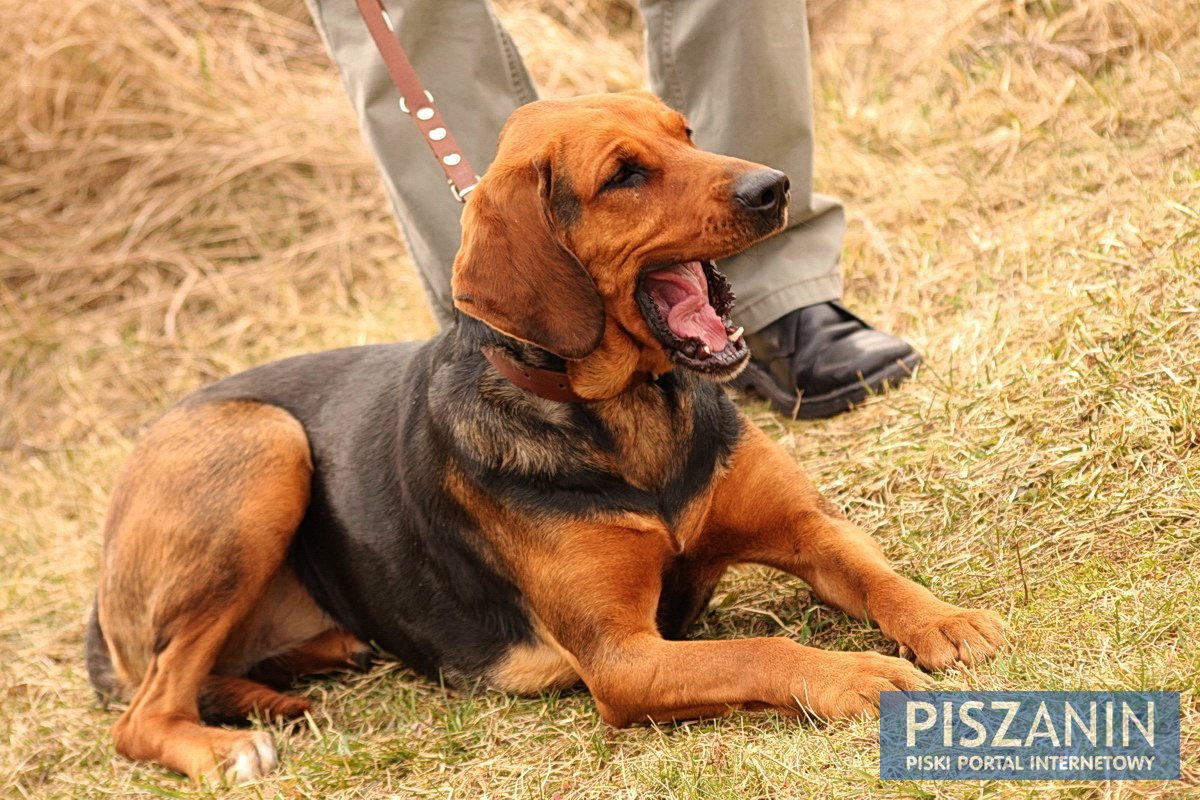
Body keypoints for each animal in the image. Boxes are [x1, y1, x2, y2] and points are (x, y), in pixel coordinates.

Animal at [84, 92, 1008, 782]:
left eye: (686, 133)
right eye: (624, 175)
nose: (773, 187)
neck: (629, 418)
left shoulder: (806, 528)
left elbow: (876, 572)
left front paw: (949, 620)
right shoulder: (625, 658)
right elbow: (761, 650)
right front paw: (854, 676)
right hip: (267, 446)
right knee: (142, 712)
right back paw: (228, 748)